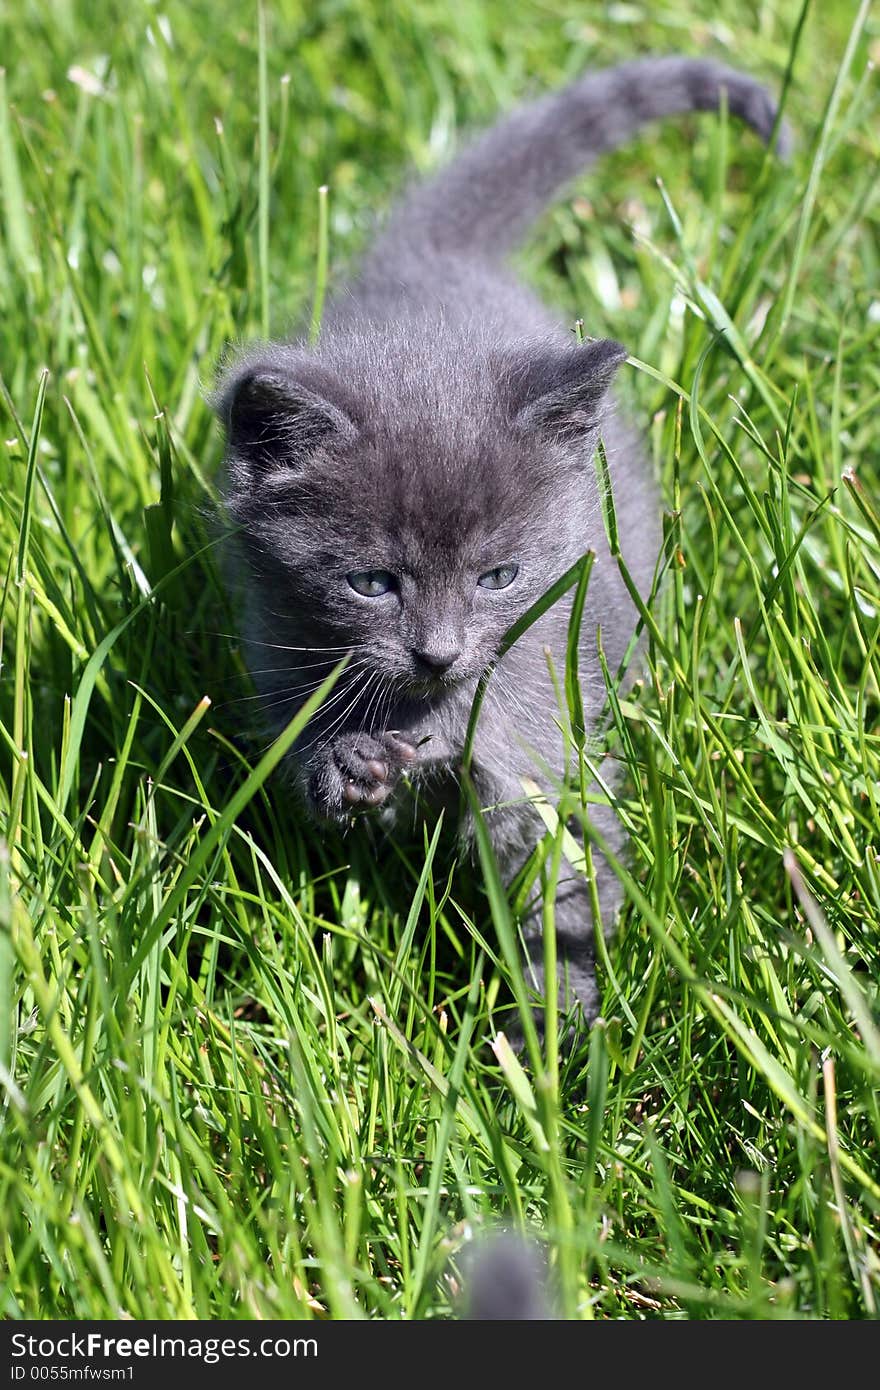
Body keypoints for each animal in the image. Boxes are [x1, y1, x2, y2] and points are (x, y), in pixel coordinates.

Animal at [214, 54, 789, 1034]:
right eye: (372, 583)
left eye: (500, 576)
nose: (439, 655)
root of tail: (432, 258)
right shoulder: (282, 649)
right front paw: (347, 766)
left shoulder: (545, 696)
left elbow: (555, 852)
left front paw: (557, 1030)